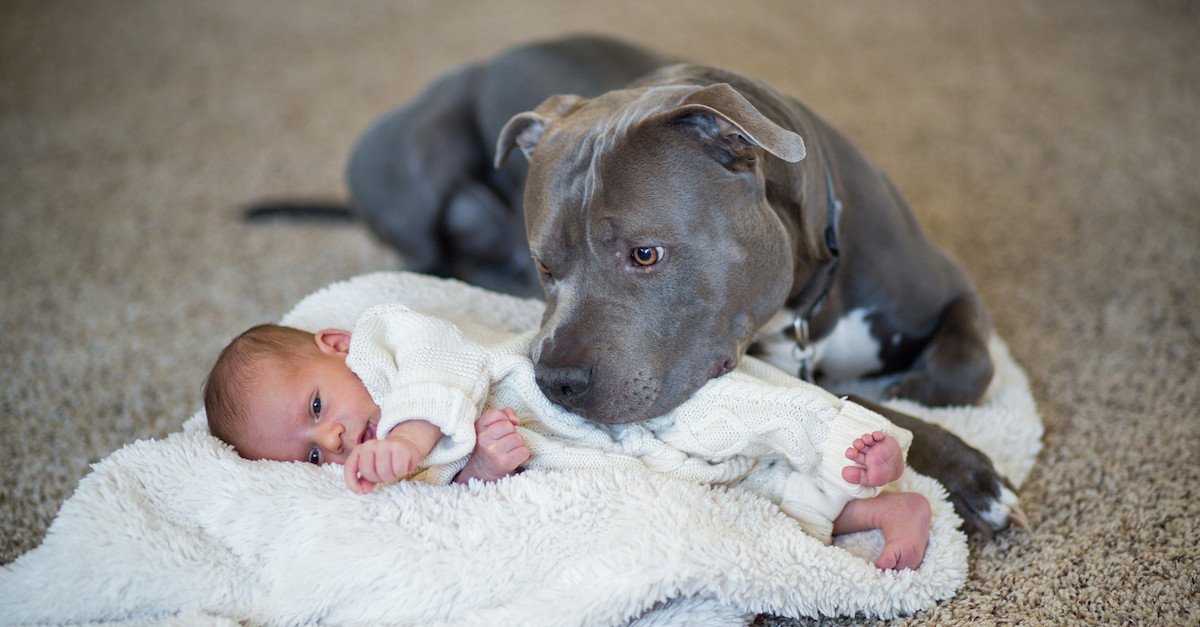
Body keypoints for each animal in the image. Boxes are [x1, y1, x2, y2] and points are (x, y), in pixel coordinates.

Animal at [258, 34, 1017, 533]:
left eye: (646, 254)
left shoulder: (954, 288)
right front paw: (964, 467)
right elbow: (862, 406)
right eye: (546, 265)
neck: (809, 296)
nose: (555, 382)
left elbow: (968, 366)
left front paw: (919, 396)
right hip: (416, 164)